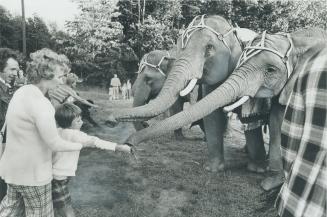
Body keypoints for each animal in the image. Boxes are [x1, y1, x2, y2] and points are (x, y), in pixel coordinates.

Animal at [121, 27, 327, 190]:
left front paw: (267, 182)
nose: (129, 145)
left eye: (148, 80)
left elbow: (277, 120)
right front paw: (212, 169)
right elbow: (210, 114)